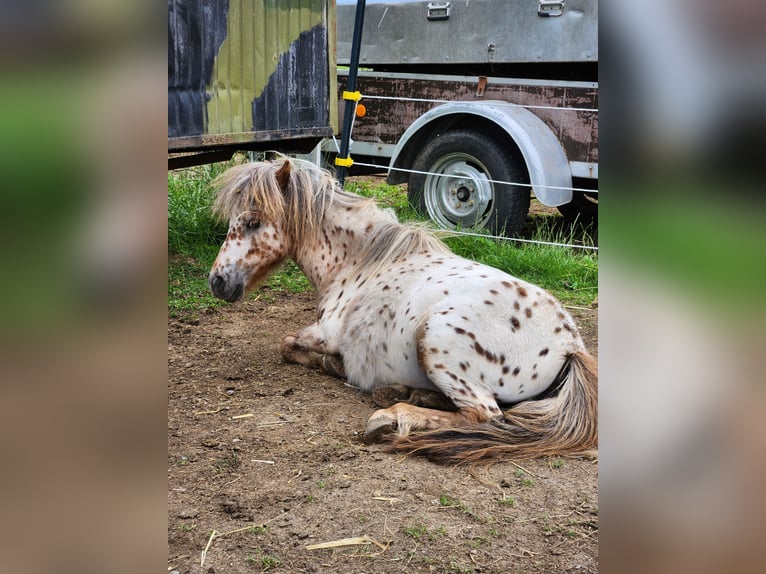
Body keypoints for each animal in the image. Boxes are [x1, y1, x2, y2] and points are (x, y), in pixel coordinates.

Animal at [208, 158, 600, 468]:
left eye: (253, 222)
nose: (217, 281)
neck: (360, 260)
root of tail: (570, 345)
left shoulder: (325, 332)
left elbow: (287, 344)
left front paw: (334, 365)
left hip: (435, 337)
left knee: (484, 415)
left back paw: (392, 417)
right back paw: (405, 394)